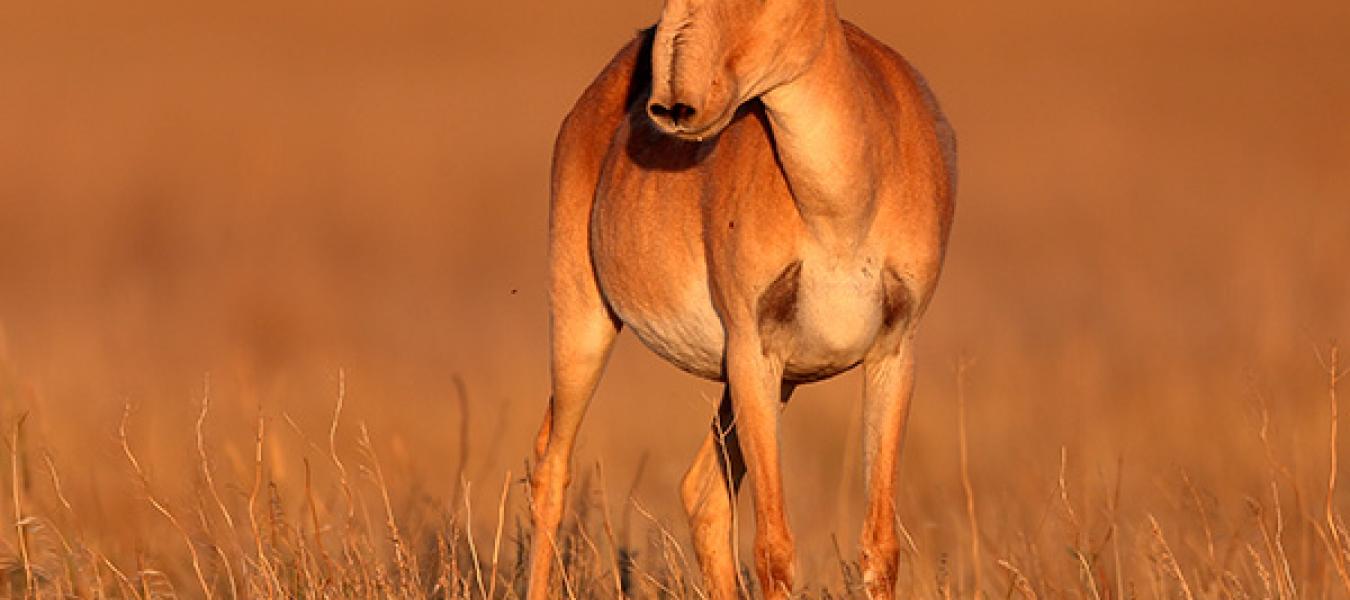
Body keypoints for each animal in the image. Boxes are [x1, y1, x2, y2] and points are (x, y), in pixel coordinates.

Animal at [526, 0, 961, 591]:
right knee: (552, 468)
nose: (674, 106)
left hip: (762, 383)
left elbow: (880, 547)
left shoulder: (892, 354)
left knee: (701, 494)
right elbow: (774, 548)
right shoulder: (754, 350)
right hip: (584, 325)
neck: (840, 214)